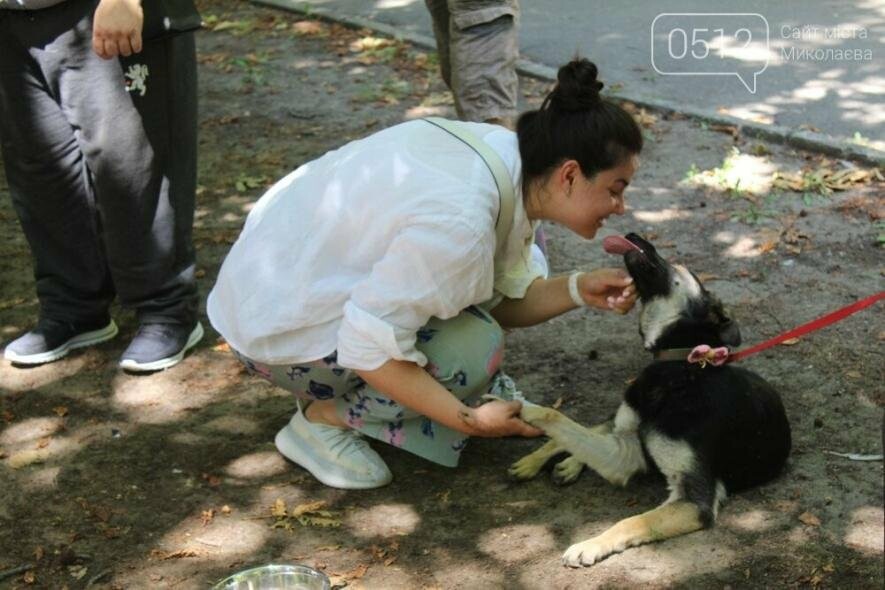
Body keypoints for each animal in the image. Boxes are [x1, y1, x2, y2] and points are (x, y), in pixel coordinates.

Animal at [508, 235, 792, 568]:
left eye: (679, 265)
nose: (634, 235)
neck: (681, 367)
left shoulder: (692, 498)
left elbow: (632, 520)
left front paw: (590, 544)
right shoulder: (629, 449)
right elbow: (560, 422)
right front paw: (521, 411)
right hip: (624, 420)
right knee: (593, 430)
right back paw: (543, 463)